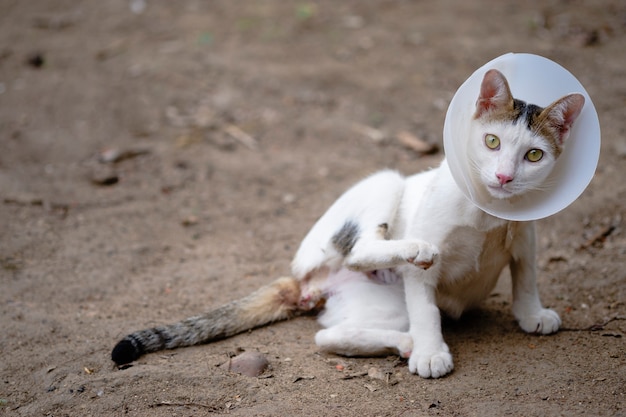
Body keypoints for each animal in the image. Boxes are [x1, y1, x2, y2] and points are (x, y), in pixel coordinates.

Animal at [109, 70, 584, 378]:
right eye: (492, 142)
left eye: (534, 155)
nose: (504, 177)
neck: (489, 213)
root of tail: (304, 280)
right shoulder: (422, 273)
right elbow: (427, 309)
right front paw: (432, 353)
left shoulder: (526, 239)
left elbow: (526, 277)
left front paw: (531, 313)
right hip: (384, 185)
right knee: (361, 253)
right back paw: (413, 292)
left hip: (381, 305)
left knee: (330, 337)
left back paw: (403, 343)